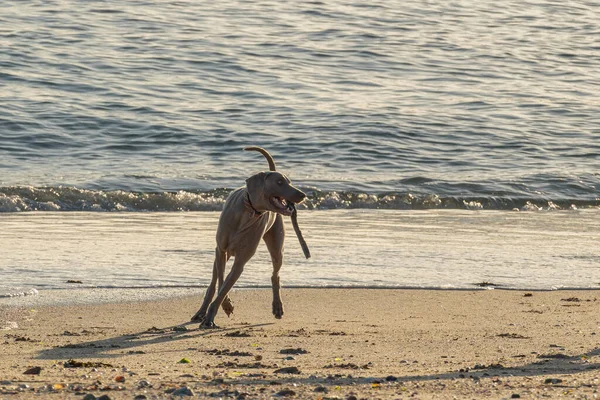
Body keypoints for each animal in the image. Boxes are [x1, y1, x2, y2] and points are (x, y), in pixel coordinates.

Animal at [192, 147, 312, 328]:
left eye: (289, 181)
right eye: (279, 182)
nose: (303, 195)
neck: (249, 212)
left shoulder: (241, 260)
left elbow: (225, 287)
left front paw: (212, 316)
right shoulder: (221, 250)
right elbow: (221, 283)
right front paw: (224, 306)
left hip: (277, 245)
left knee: (275, 274)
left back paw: (277, 307)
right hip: (220, 253)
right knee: (213, 281)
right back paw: (200, 312)